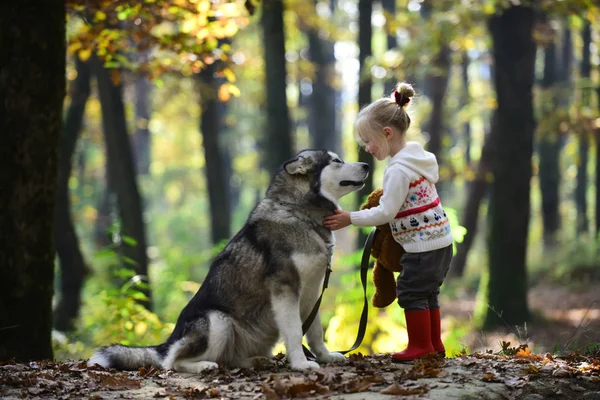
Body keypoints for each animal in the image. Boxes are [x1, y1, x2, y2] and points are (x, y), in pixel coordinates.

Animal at [89, 150, 368, 372]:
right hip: (217, 321)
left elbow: (315, 331)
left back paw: (255, 361)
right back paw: (203, 366)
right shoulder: (285, 288)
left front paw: (325, 356)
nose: (366, 164)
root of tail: (169, 339)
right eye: (336, 160)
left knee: (230, 359)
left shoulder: (311, 291)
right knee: (173, 362)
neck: (300, 215)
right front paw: (301, 364)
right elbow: (294, 331)